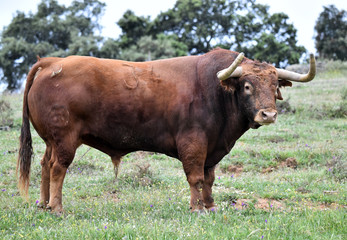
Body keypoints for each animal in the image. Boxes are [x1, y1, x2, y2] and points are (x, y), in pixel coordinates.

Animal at [16, 48, 316, 214]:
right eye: (247, 86)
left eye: (275, 85)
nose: (268, 114)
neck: (215, 92)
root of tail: (52, 62)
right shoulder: (194, 143)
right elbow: (196, 177)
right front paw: (197, 209)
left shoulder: (212, 148)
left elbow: (209, 179)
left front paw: (211, 206)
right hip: (65, 139)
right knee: (58, 168)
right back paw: (57, 208)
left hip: (51, 141)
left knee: (45, 164)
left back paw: (43, 204)